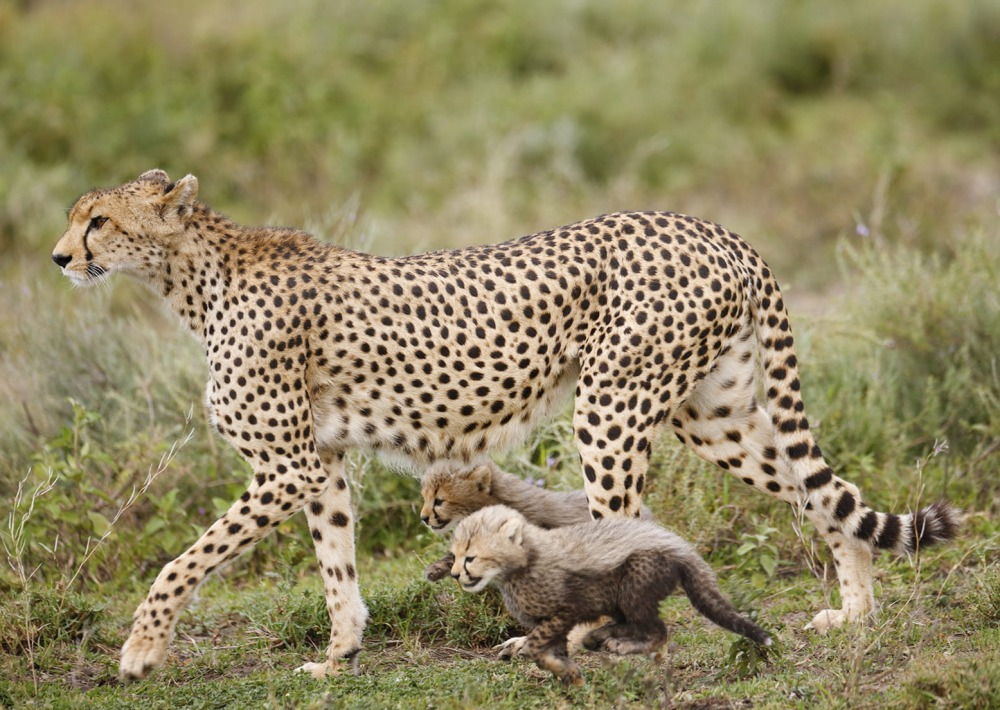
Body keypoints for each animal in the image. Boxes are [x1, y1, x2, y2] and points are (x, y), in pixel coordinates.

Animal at [449, 504, 772, 686]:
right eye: (454, 555)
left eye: (471, 557)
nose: (454, 574)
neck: (528, 559)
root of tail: (677, 543)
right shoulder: (552, 621)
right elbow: (548, 652)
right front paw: (568, 675)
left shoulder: (566, 610)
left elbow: (537, 645)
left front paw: (561, 669)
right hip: (619, 598)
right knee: (627, 624)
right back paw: (601, 637)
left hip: (635, 582)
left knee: (657, 630)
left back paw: (620, 644)